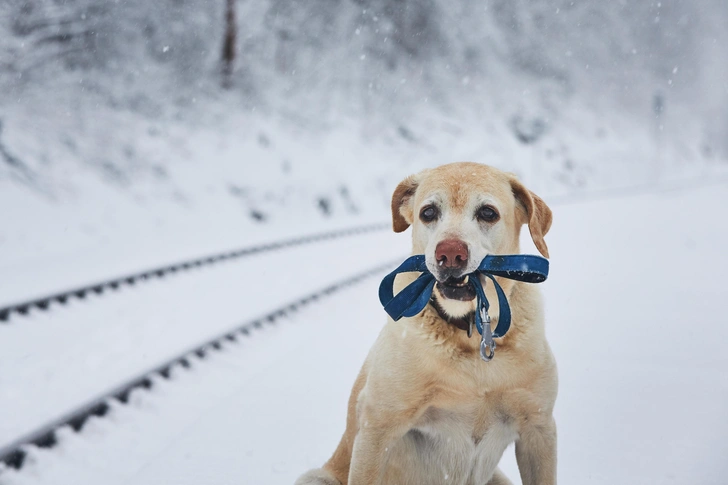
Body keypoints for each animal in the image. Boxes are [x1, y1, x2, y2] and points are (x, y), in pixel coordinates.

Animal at [296, 164, 556, 484]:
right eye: (428, 212)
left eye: (488, 212)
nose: (450, 253)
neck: (471, 334)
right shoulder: (378, 426)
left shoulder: (539, 427)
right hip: (315, 476)